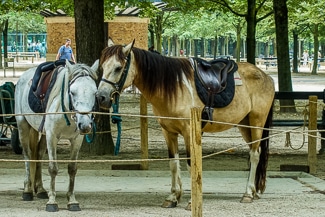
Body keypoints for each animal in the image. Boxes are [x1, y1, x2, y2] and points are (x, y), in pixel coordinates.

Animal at [15, 59, 98, 212]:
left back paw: (41, 190)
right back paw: (27, 190)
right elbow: (53, 169)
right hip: (22, 125)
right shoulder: (52, 137)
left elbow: (72, 169)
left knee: (38, 155)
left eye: (95, 93)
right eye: (72, 92)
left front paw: (72, 200)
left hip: (41, 133)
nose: (85, 125)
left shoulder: (77, 140)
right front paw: (52, 202)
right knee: (28, 156)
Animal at [96, 38, 274, 209]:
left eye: (118, 68)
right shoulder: (168, 132)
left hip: (257, 122)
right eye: (102, 67)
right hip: (245, 125)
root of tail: (266, 76)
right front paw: (173, 197)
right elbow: (174, 163)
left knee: (255, 154)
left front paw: (191, 202)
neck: (174, 87)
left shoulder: (189, 132)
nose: (100, 97)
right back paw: (254, 191)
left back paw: (248, 194)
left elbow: (191, 164)